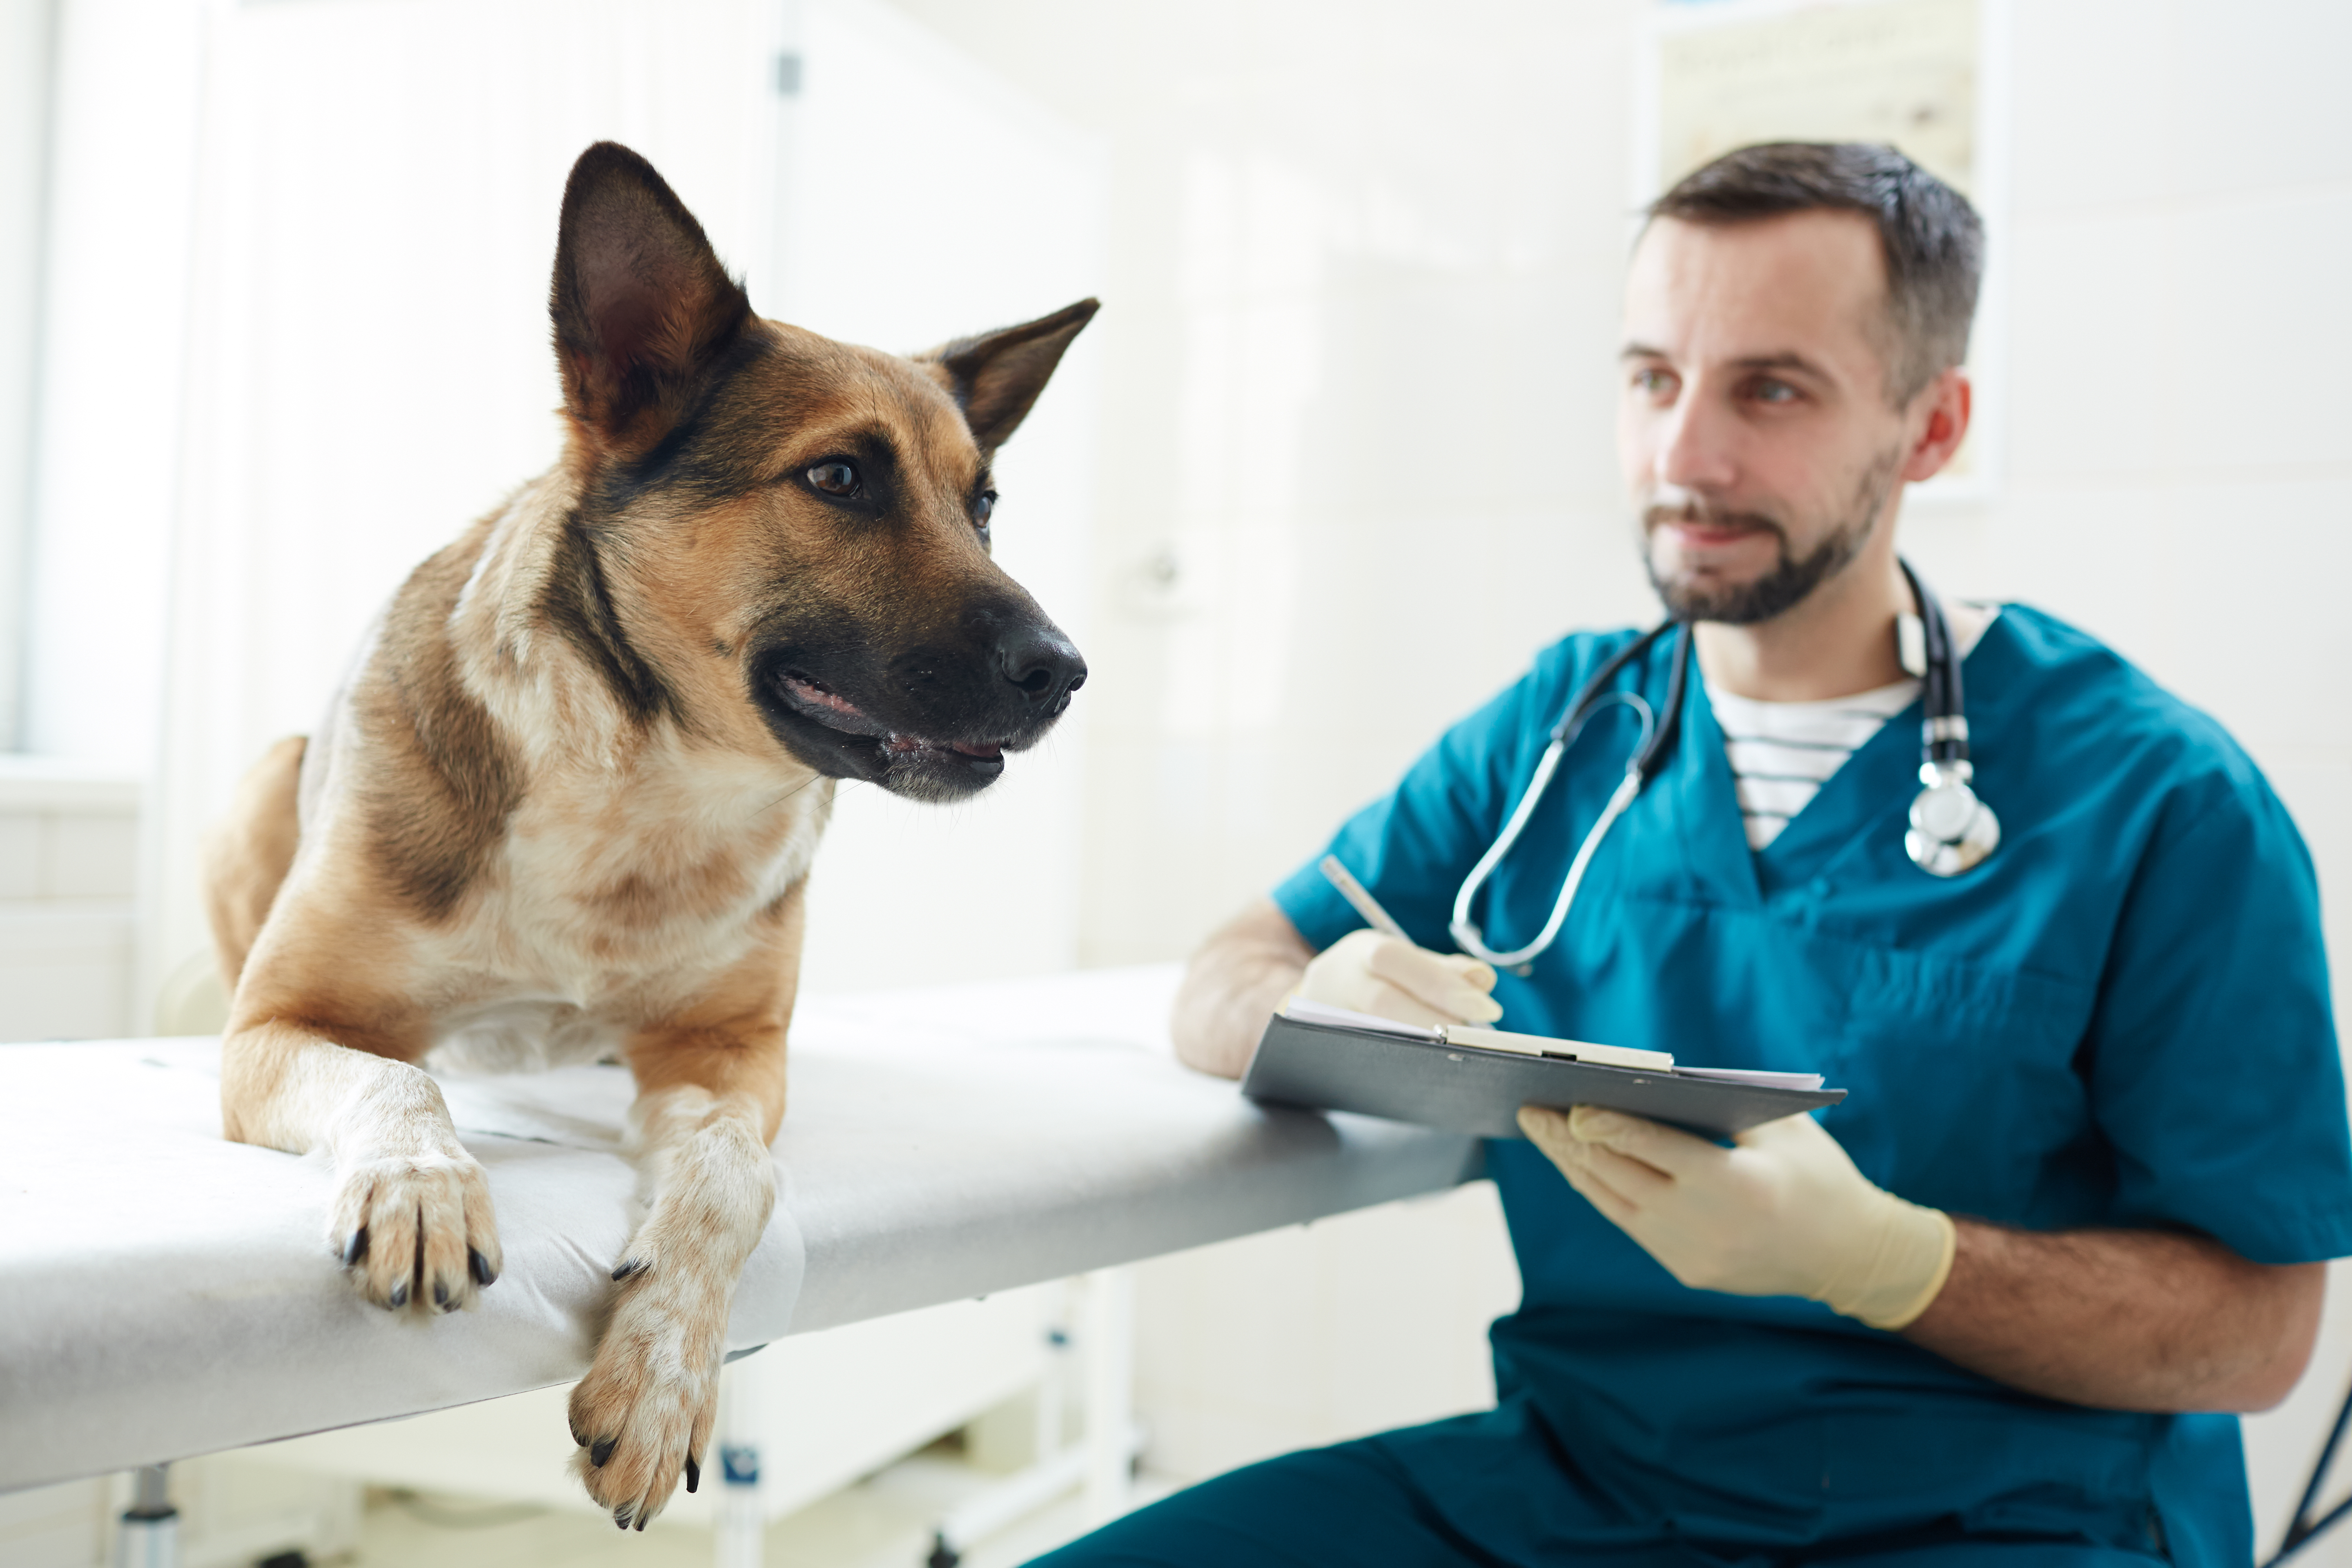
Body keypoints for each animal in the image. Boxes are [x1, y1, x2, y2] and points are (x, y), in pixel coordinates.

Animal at [202, 144, 1091, 1532]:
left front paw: (667, 1376)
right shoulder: (277, 1027)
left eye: (985, 503)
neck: (644, 777)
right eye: (839, 477)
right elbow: (397, 1076)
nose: (1066, 672)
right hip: (259, 788)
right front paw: (420, 1185)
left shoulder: (729, 1058)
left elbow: (731, 1175)